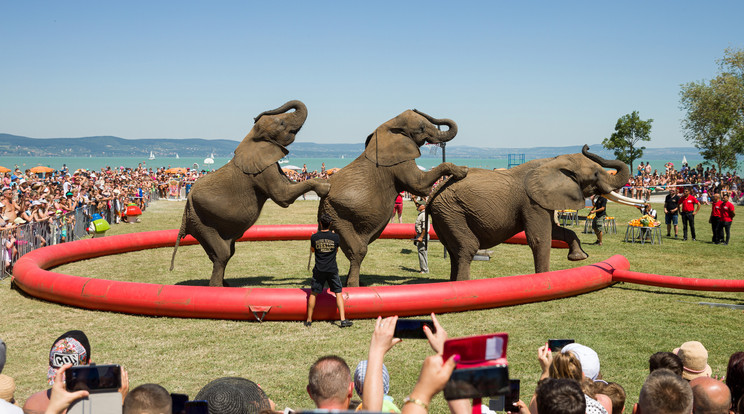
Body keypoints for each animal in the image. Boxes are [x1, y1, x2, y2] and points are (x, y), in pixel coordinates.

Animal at [173, 100, 330, 288]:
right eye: (281, 123)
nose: (255, 116)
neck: (252, 136)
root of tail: (187, 202)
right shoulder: (262, 170)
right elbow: (283, 196)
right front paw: (325, 187)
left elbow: (289, 186)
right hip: (202, 220)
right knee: (223, 253)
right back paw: (218, 288)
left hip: (199, 221)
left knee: (223, 253)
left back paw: (226, 285)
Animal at [316, 108, 468, 286]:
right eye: (421, 129)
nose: (415, 108)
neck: (390, 125)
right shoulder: (399, 163)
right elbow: (420, 186)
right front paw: (463, 171)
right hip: (339, 215)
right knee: (358, 251)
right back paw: (353, 286)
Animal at [428, 145, 648, 282]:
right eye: (595, 174)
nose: (586, 146)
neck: (554, 161)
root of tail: (433, 195)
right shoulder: (532, 202)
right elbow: (540, 238)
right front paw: (544, 279)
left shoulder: (543, 200)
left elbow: (557, 231)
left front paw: (579, 258)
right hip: (452, 210)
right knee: (468, 247)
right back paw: (464, 285)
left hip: (445, 214)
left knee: (455, 250)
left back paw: (453, 283)